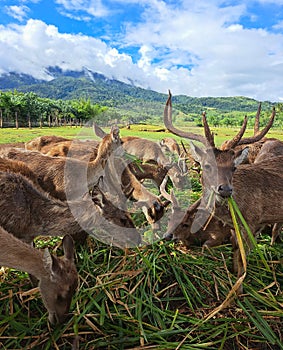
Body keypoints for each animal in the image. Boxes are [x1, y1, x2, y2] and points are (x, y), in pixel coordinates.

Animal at [164, 91, 282, 290]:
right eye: (207, 165)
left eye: (233, 167)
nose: (225, 189)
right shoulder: (235, 229)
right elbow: (235, 256)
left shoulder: (252, 222)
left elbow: (242, 261)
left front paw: (238, 290)